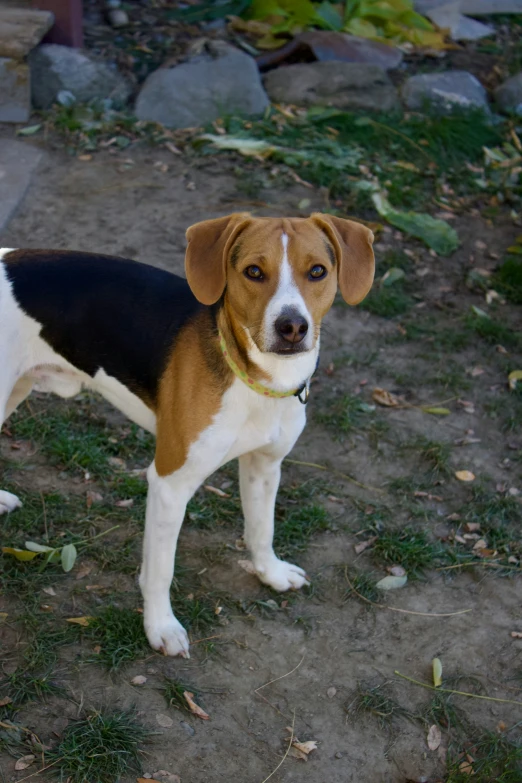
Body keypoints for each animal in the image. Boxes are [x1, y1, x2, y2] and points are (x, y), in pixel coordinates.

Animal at [0, 211, 374, 660]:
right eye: (253, 271)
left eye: (317, 271)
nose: (292, 327)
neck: (254, 379)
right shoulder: (169, 484)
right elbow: (161, 569)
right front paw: (160, 627)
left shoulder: (265, 466)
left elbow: (261, 529)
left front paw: (270, 573)